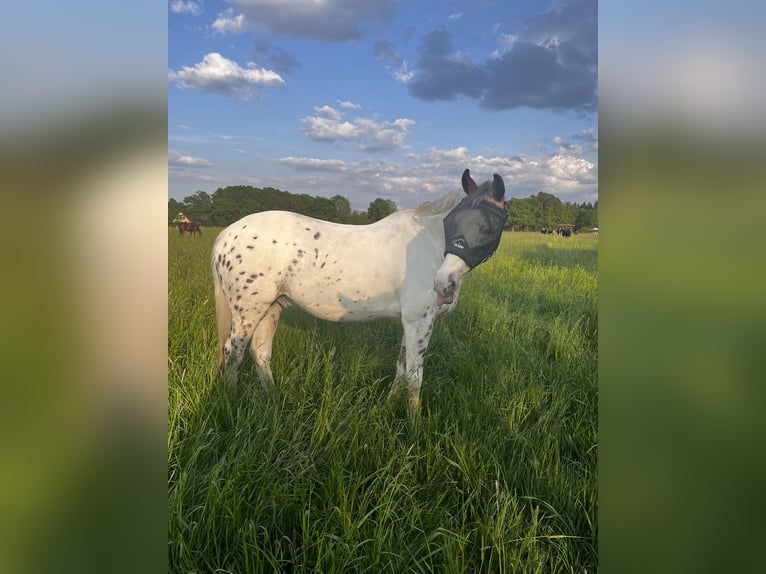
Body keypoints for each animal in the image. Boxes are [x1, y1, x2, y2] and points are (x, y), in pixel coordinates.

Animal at [212, 169, 510, 412]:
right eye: (452, 223)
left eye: (488, 226)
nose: (442, 283)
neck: (430, 245)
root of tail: (226, 234)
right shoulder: (419, 321)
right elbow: (414, 375)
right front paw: (414, 424)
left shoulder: (411, 321)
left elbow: (401, 367)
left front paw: (389, 406)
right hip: (248, 312)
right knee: (233, 354)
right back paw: (231, 401)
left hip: (272, 307)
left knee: (260, 354)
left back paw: (273, 398)